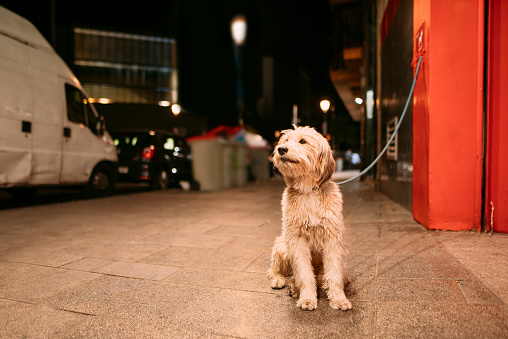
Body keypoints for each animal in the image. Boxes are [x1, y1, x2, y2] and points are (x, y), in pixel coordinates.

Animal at [268, 126, 352, 312]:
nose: (281, 149)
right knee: (275, 271)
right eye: (285, 141)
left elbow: (334, 274)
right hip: (282, 245)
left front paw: (338, 298)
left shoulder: (333, 239)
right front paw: (307, 298)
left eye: (303, 141)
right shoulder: (297, 240)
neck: (308, 191)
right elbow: (304, 274)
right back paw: (282, 281)